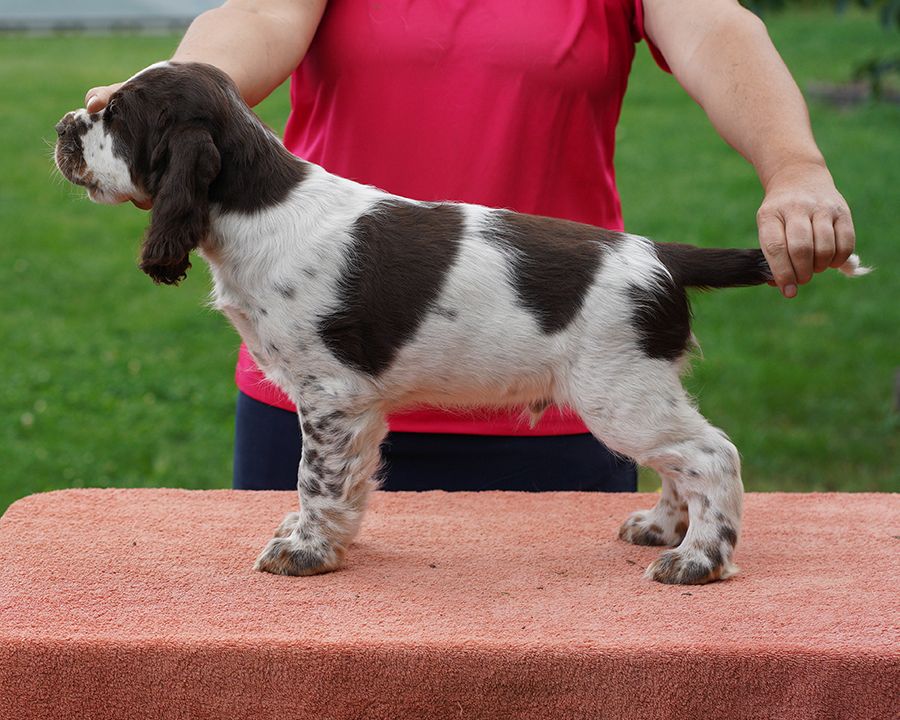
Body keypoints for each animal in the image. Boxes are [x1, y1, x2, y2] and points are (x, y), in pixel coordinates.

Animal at [54, 63, 864, 584]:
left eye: (116, 117)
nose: (64, 123)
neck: (258, 205)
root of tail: (657, 252)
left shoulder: (330, 396)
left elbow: (316, 481)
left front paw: (304, 552)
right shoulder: (353, 407)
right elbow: (345, 484)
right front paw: (324, 542)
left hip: (619, 393)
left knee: (712, 454)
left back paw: (699, 558)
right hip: (640, 389)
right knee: (684, 459)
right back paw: (663, 529)